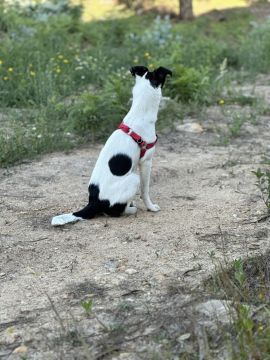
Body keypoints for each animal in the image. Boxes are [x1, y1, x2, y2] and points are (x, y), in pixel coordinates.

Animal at [51, 65, 172, 225]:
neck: (139, 115)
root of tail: (94, 202)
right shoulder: (146, 161)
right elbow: (145, 191)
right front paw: (150, 207)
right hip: (133, 178)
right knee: (114, 212)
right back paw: (131, 209)